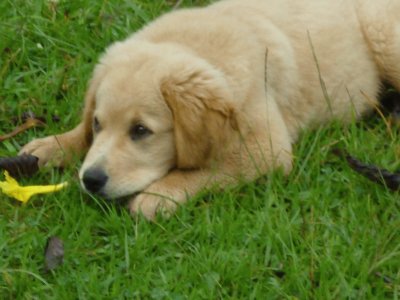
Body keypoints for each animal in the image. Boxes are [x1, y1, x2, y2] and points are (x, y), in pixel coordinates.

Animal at [20, 0, 400, 220]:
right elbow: (80, 135)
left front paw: (158, 195)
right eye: (98, 124)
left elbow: (211, 168)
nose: (91, 180)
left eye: (141, 131)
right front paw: (52, 146)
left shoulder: (266, 147)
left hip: (384, 37)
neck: (193, 45)